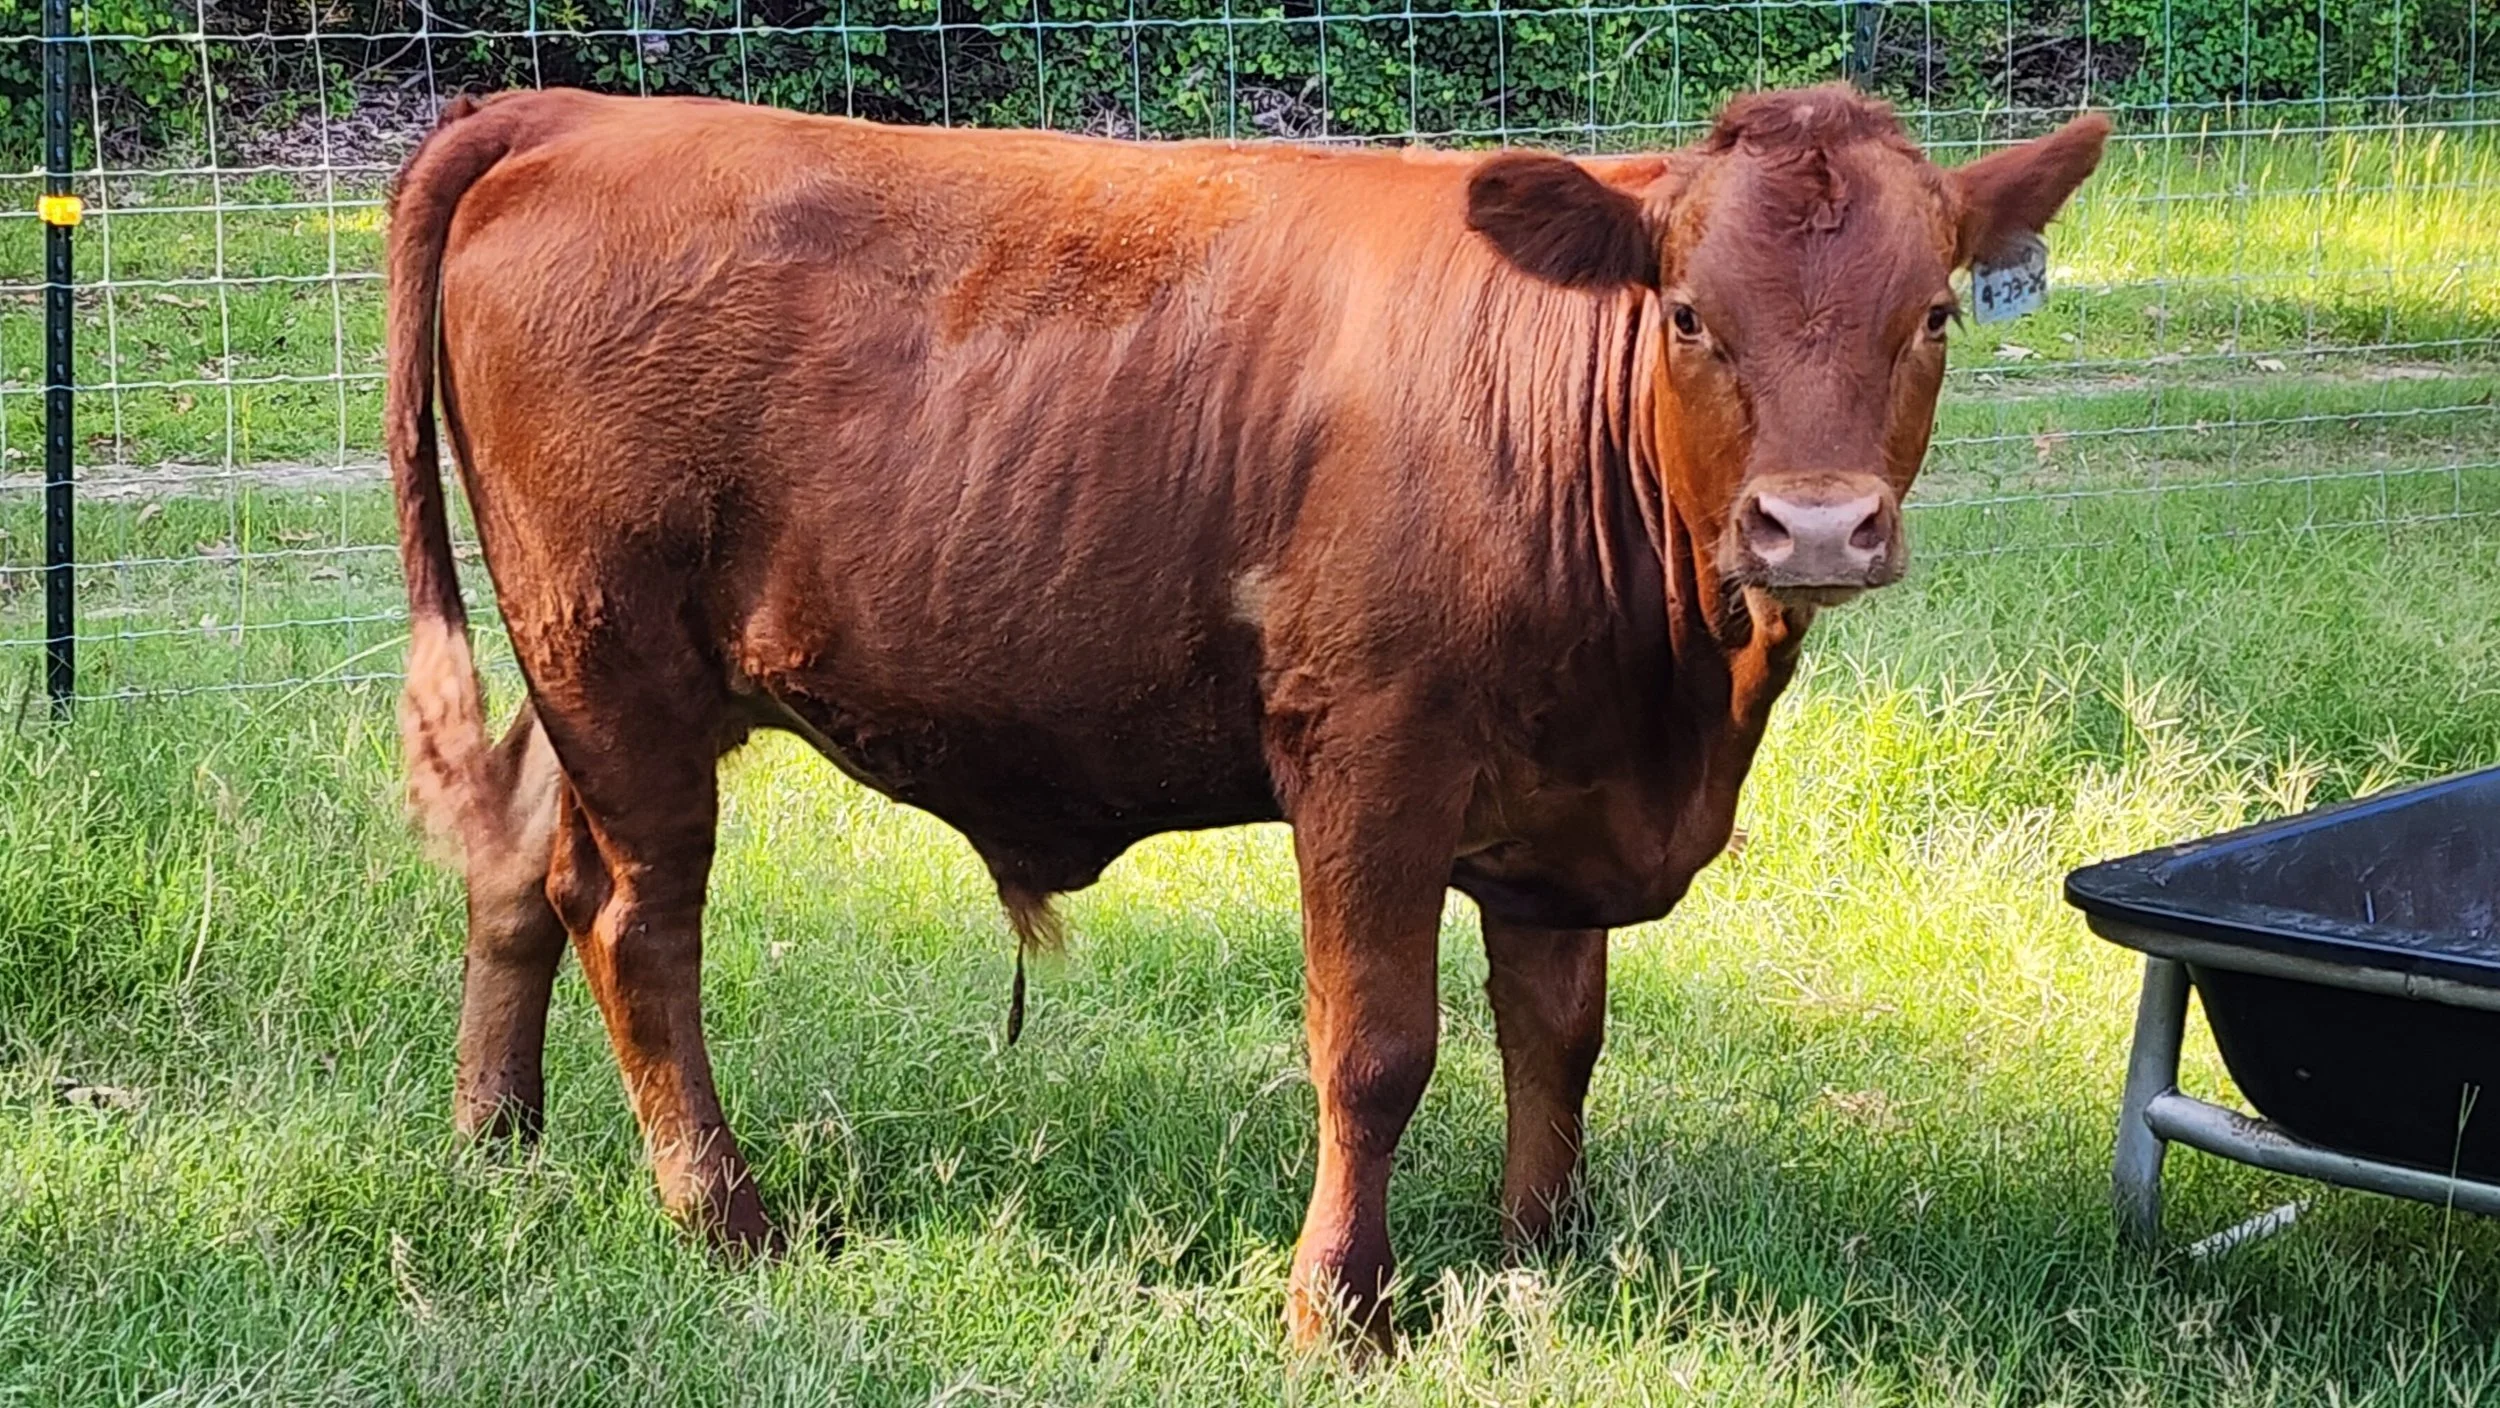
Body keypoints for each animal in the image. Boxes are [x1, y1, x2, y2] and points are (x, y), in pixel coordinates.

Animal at [387, 83, 2105, 1345]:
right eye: (1688, 312)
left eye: (1935, 312)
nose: (1814, 528)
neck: (1673, 696)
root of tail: (573, 112)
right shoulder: (1370, 758)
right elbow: (1377, 1049)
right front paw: (1338, 1311)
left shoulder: (1560, 804)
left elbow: (1557, 1033)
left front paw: (1541, 1255)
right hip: (618, 660)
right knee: (637, 920)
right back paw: (725, 1218)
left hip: (586, 676)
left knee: (524, 868)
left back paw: (497, 1137)